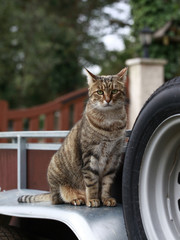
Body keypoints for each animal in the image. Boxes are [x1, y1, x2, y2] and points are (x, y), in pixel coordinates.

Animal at [17, 67, 128, 206]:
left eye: (114, 91)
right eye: (100, 92)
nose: (108, 100)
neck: (110, 122)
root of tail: (50, 193)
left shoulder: (113, 158)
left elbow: (106, 183)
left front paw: (106, 198)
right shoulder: (90, 155)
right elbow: (91, 182)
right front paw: (92, 199)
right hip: (55, 171)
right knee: (59, 199)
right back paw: (78, 199)